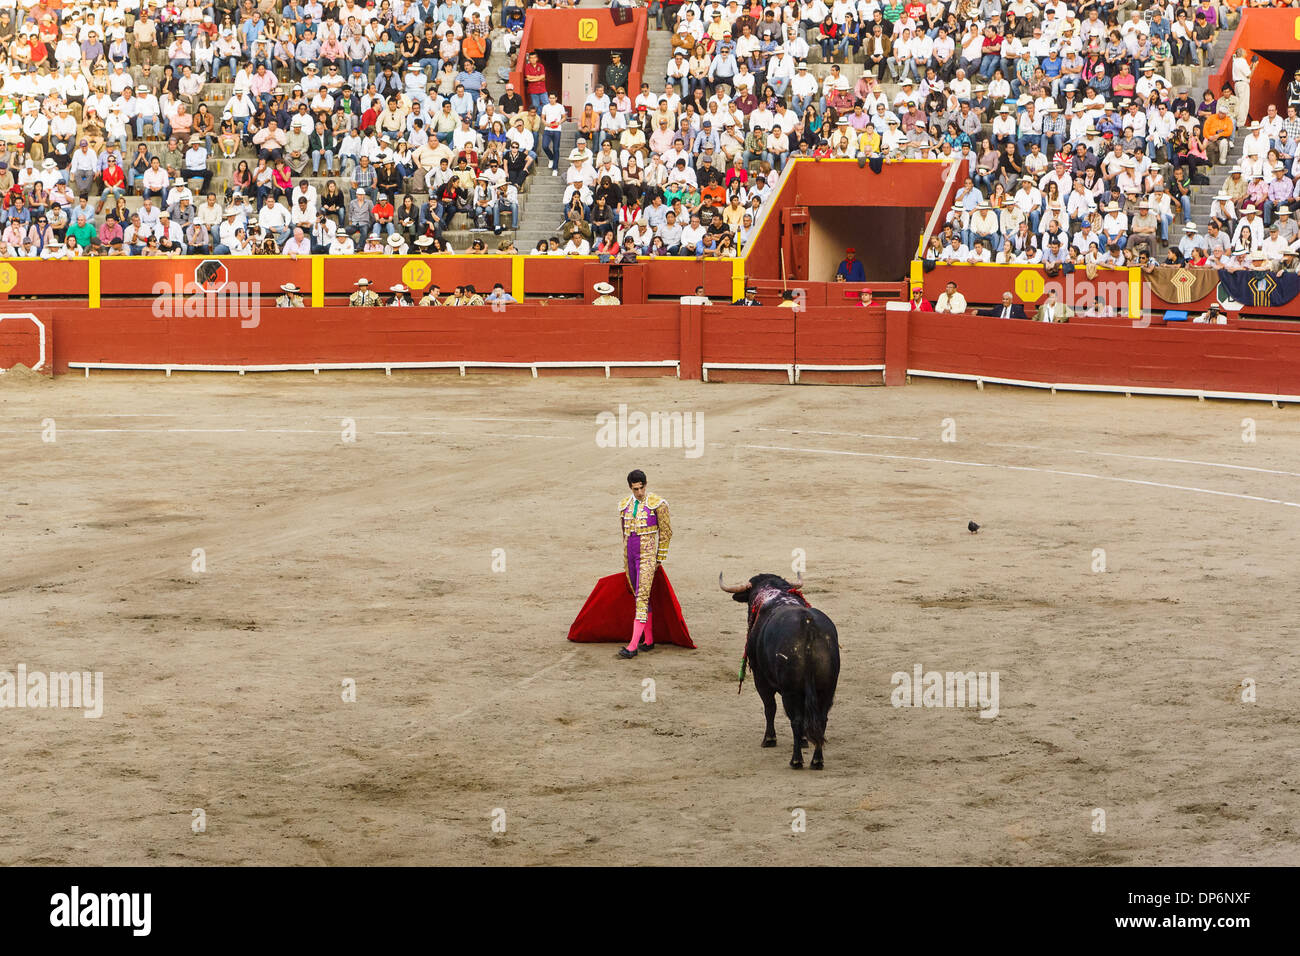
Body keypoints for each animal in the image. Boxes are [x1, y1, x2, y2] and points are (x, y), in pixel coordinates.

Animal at [722, 574, 842, 770]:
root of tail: (808, 625)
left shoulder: (760, 679)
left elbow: (770, 708)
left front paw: (769, 739)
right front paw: (804, 741)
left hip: (790, 690)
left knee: (796, 719)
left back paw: (796, 760)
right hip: (827, 688)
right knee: (821, 719)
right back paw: (817, 760)